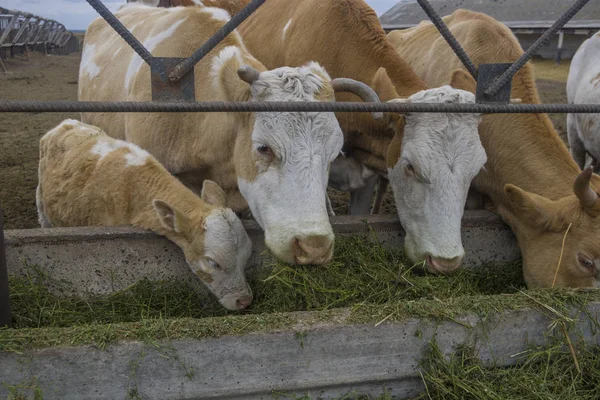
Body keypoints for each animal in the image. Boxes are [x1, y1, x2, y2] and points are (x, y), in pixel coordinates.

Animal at [37, 119, 253, 310]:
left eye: (246, 256)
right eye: (213, 262)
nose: (244, 301)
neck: (135, 192)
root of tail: (66, 123)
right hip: (41, 205)